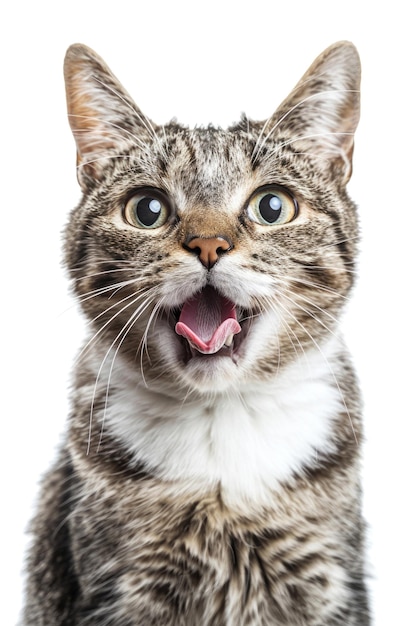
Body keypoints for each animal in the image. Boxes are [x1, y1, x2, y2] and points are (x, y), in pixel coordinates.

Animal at [22, 41, 368, 620]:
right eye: (147, 209)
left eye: (272, 206)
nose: (209, 245)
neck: (222, 416)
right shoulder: (118, 586)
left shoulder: (327, 583)